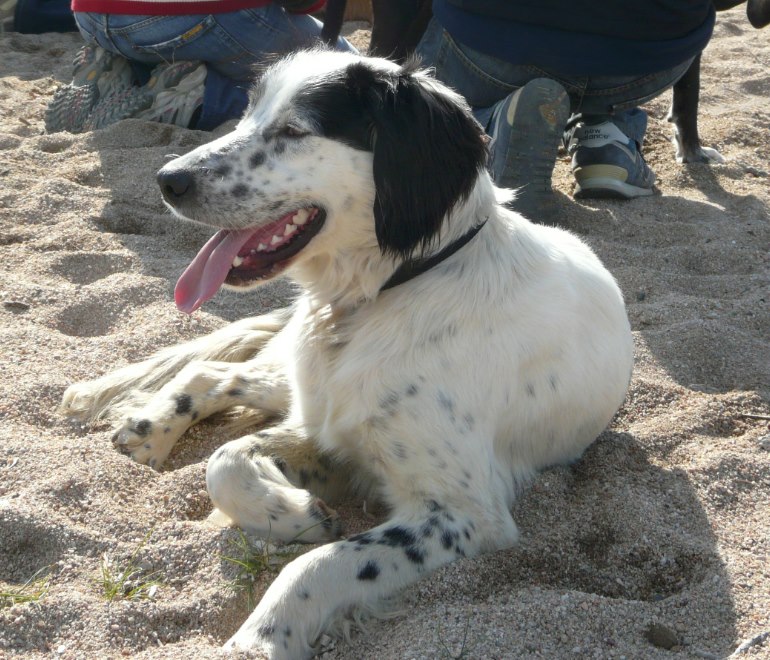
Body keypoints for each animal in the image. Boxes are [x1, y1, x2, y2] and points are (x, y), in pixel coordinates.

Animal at [60, 50, 632, 656]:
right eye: (247, 112)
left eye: (294, 130)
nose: (167, 180)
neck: (375, 298)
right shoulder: (328, 433)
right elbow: (225, 461)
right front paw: (293, 513)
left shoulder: (464, 513)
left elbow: (315, 564)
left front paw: (261, 636)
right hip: (293, 378)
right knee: (213, 370)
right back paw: (150, 428)